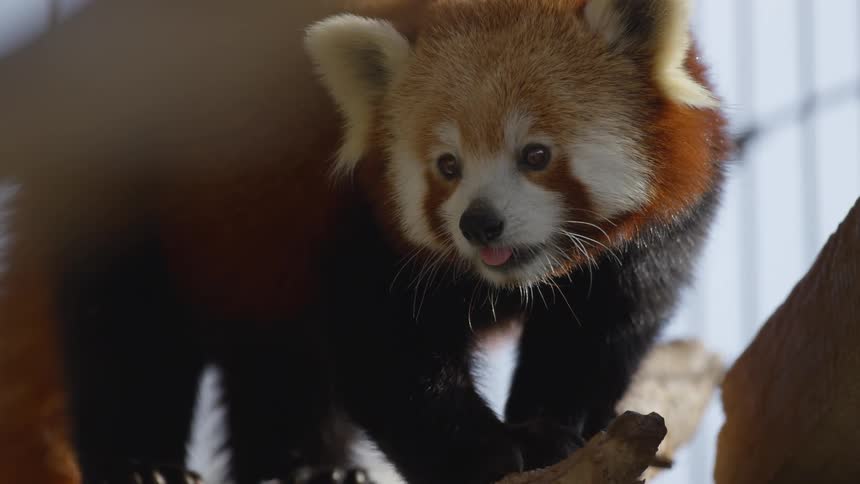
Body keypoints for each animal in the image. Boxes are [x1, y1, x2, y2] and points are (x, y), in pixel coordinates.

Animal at [0, 0, 729, 483]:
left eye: (536, 154)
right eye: (447, 165)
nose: (479, 223)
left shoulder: (650, 243)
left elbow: (599, 335)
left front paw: (552, 434)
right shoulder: (350, 225)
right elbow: (387, 359)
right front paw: (482, 455)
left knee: (273, 365)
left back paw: (301, 469)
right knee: (131, 340)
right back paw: (140, 463)